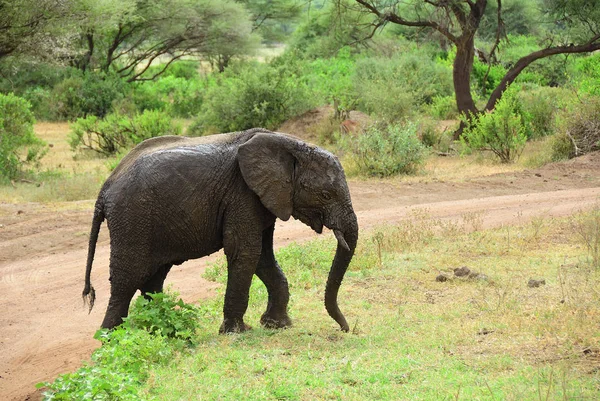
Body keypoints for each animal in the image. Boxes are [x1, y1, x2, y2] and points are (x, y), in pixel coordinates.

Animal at [82, 127, 358, 332]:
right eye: (325, 195)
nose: (346, 329)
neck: (289, 143)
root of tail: (105, 187)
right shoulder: (242, 194)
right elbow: (246, 251)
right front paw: (237, 332)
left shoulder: (263, 199)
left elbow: (263, 257)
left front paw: (277, 325)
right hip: (132, 220)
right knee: (126, 281)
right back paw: (110, 340)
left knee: (153, 279)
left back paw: (159, 330)